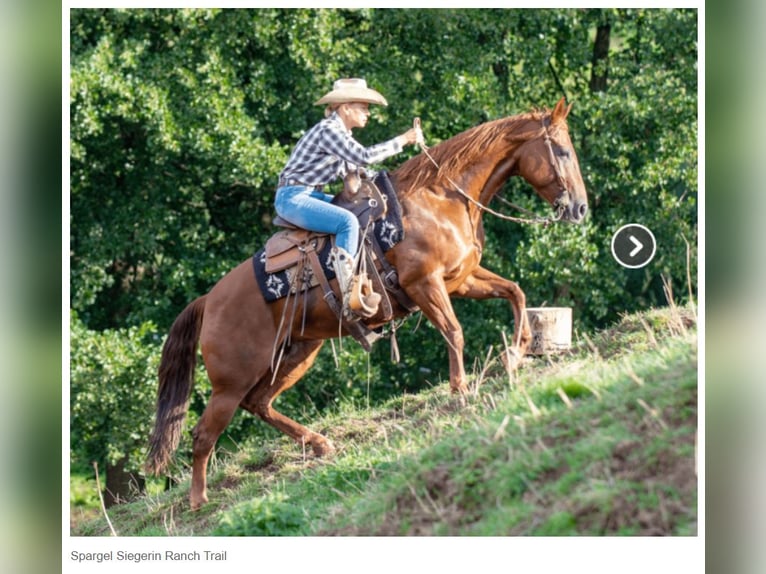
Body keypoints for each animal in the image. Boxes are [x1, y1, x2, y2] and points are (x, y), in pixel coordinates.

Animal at [146, 97, 588, 510]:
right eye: (563, 151)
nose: (580, 208)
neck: (439, 199)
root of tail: (209, 300)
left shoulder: (460, 280)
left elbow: (515, 291)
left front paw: (516, 352)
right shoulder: (425, 284)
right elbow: (454, 330)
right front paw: (461, 388)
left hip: (298, 352)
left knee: (259, 403)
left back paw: (319, 443)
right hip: (231, 380)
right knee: (205, 432)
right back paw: (199, 500)